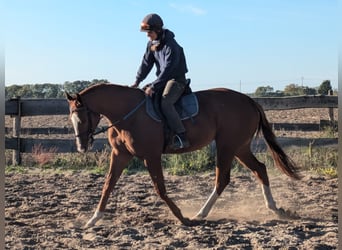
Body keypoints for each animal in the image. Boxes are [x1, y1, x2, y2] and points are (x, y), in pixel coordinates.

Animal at [65, 82, 300, 227]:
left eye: (82, 118)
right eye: (71, 118)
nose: (81, 147)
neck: (129, 114)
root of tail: (249, 100)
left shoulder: (151, 156)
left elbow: (160, 189)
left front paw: (182, 218)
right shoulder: (120, 155)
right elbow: (107, 185)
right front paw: (92, 220)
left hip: (227, 146)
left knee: (222, 179)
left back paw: (200, 214)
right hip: (239, 147)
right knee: (260, 169)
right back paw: (275, 209)